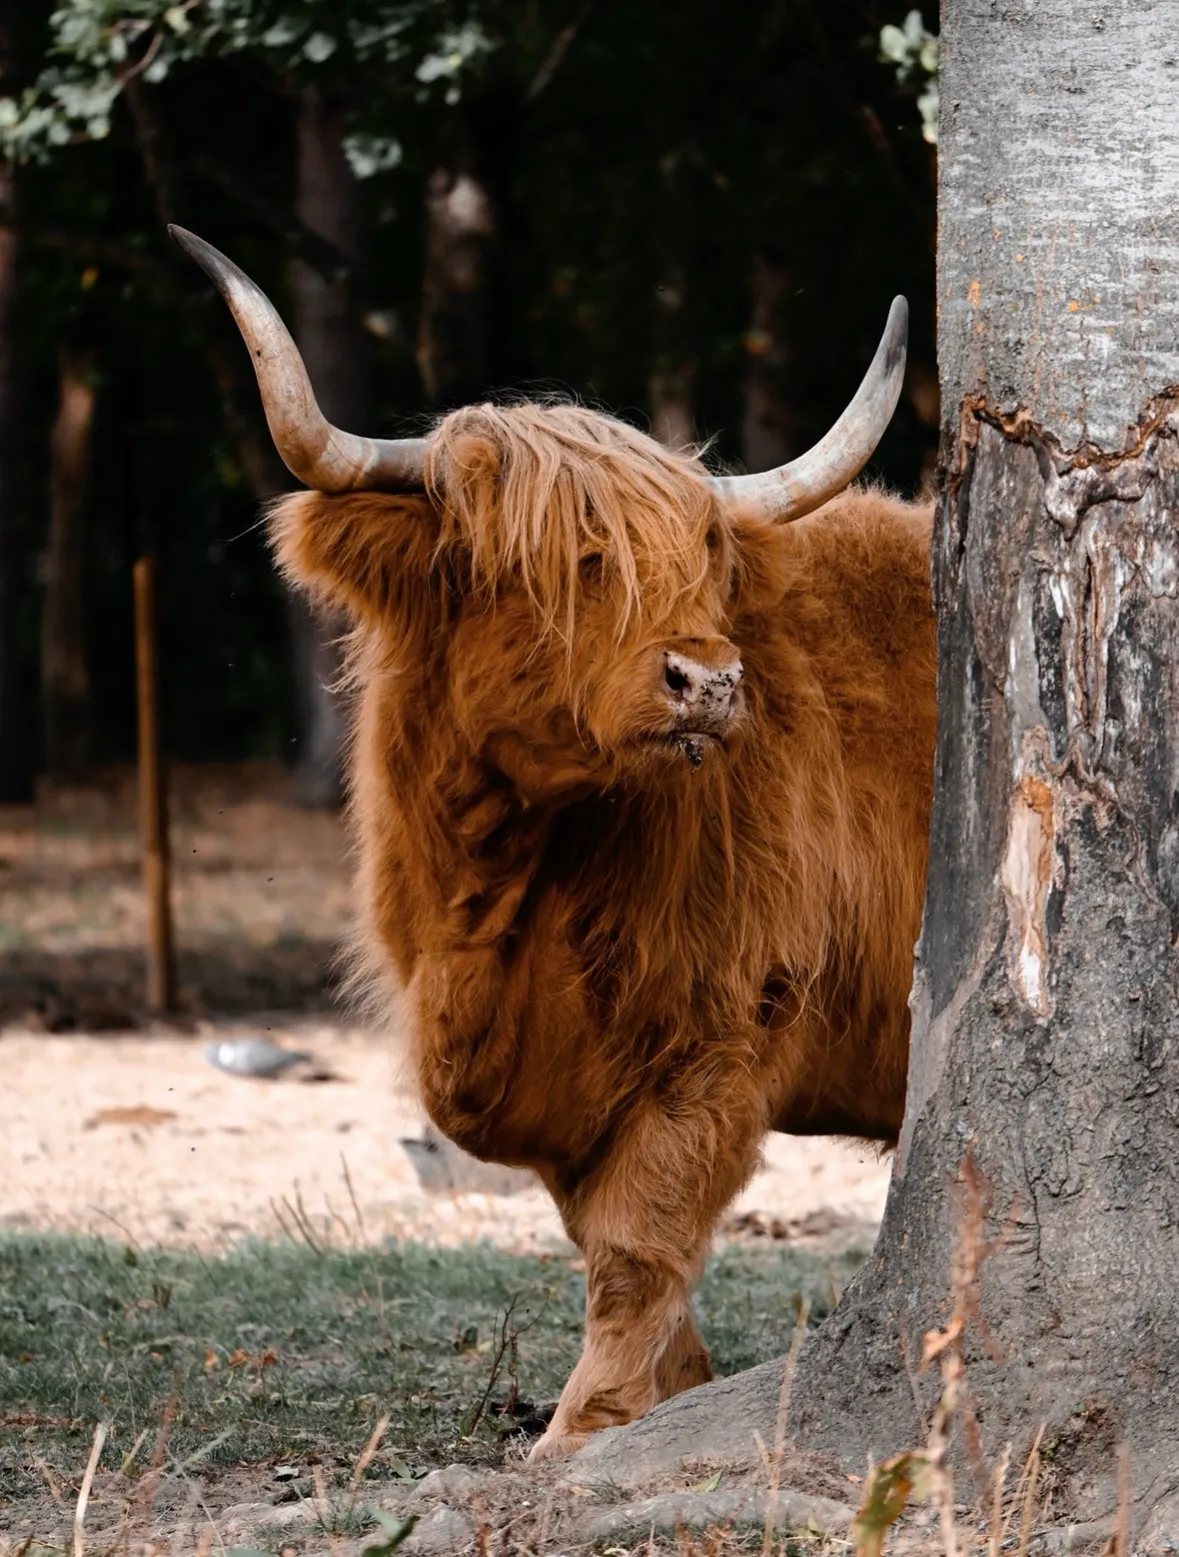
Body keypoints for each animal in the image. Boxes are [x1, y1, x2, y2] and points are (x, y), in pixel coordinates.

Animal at [172, 226, 938, 1460]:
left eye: (697, 563)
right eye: (561, 560)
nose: (708, 681)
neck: (499, 900)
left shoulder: (720, 1037)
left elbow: (636, 1246)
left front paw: (585, 1434)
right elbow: (603, 1243)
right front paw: (675, 1394)